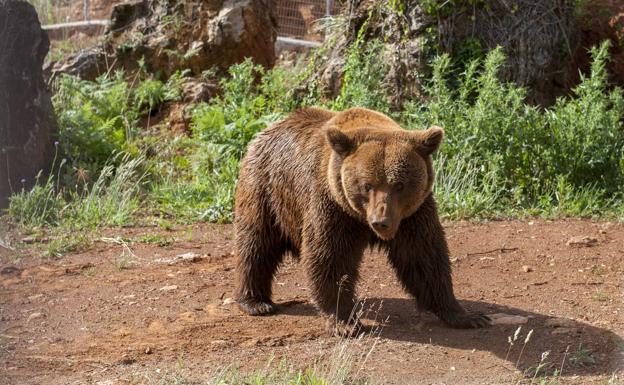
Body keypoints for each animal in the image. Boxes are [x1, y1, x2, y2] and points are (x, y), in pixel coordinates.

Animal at [233, 106, 488, 334]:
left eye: (399, 185)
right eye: (367, 185)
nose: (380, 221)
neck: (360, 219)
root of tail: (270, 127)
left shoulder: (412, 216)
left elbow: (425, 258)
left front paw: (467, 316)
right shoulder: (333, 207)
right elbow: (330, 259)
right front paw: (345, 322)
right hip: (266, 191)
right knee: (256, 244)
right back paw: (256, 302)